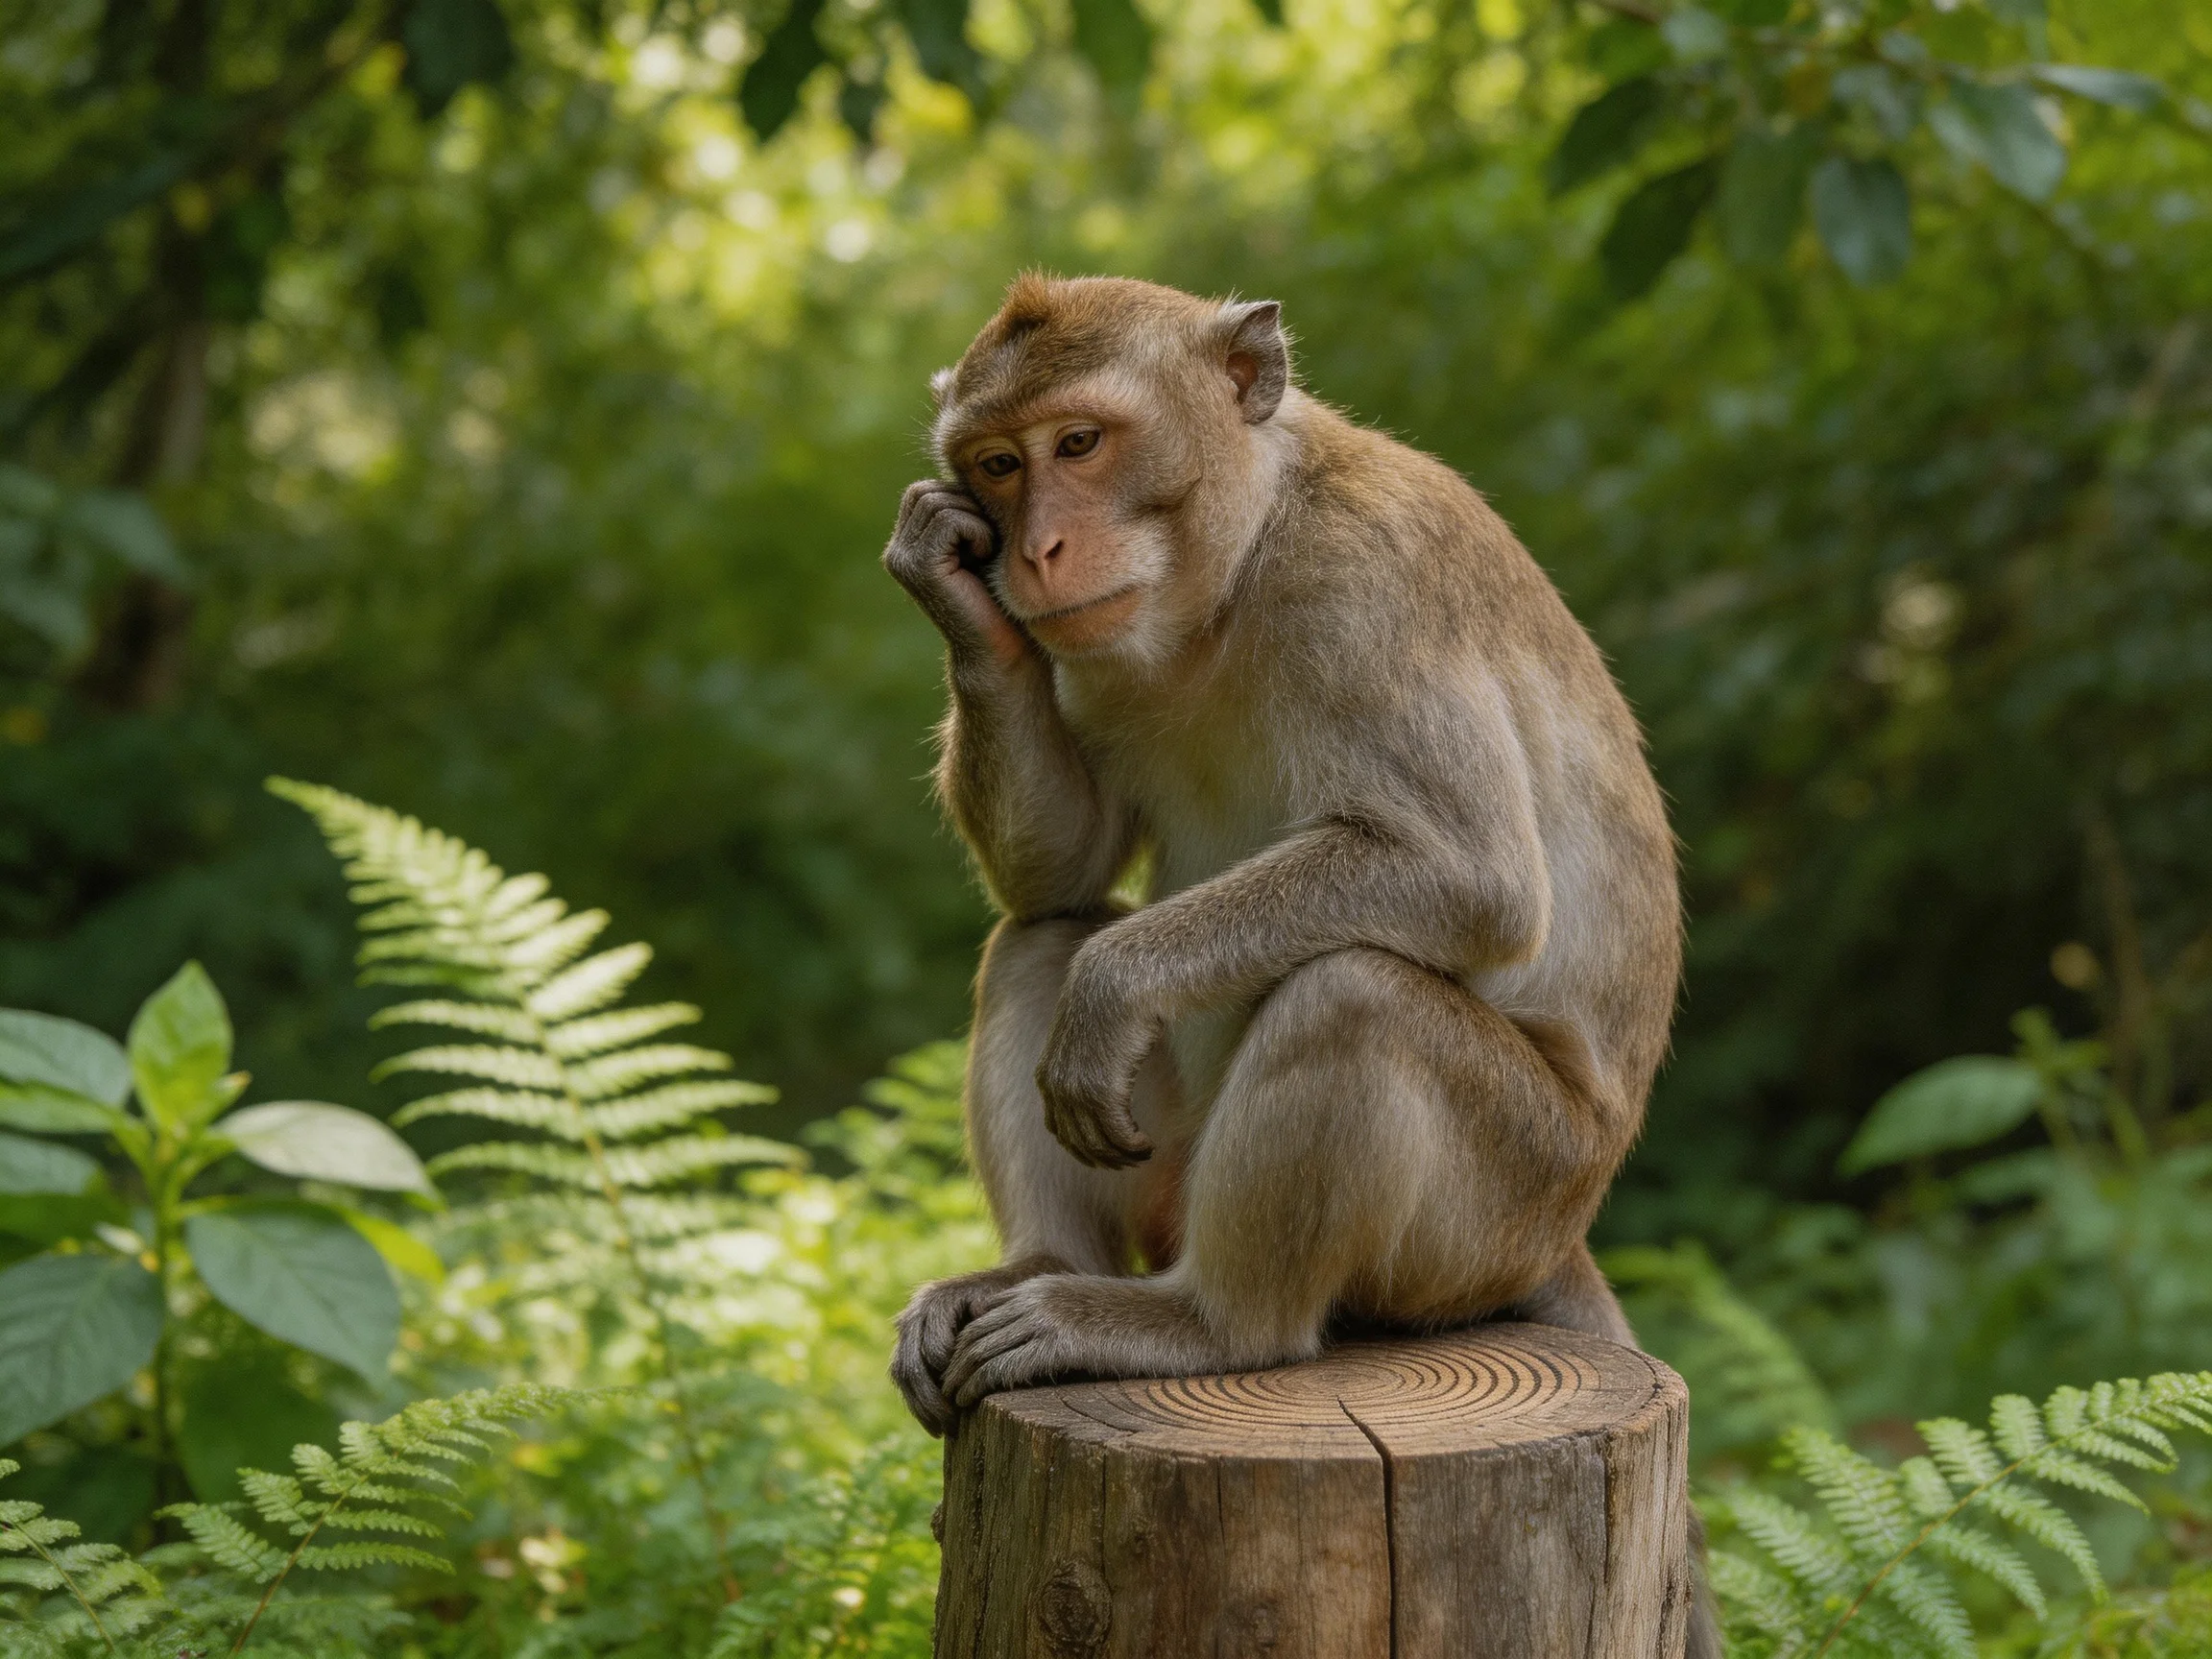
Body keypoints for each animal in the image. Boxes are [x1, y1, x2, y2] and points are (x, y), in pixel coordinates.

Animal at [882, 275, 1712, 1651]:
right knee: (1037, 938)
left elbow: (1469, 874)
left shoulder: (1361, 584)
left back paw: (1203, 1324)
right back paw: (1043, 1268)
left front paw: (1118, 986)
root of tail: (1564, 1237)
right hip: (1172, 1170)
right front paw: (949, 584)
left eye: (1080, 443)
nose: (1035, 548)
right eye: (997, 465)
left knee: (1357, 997)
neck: (1238, 565)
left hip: (1495, 1213)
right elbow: (1060, 874)